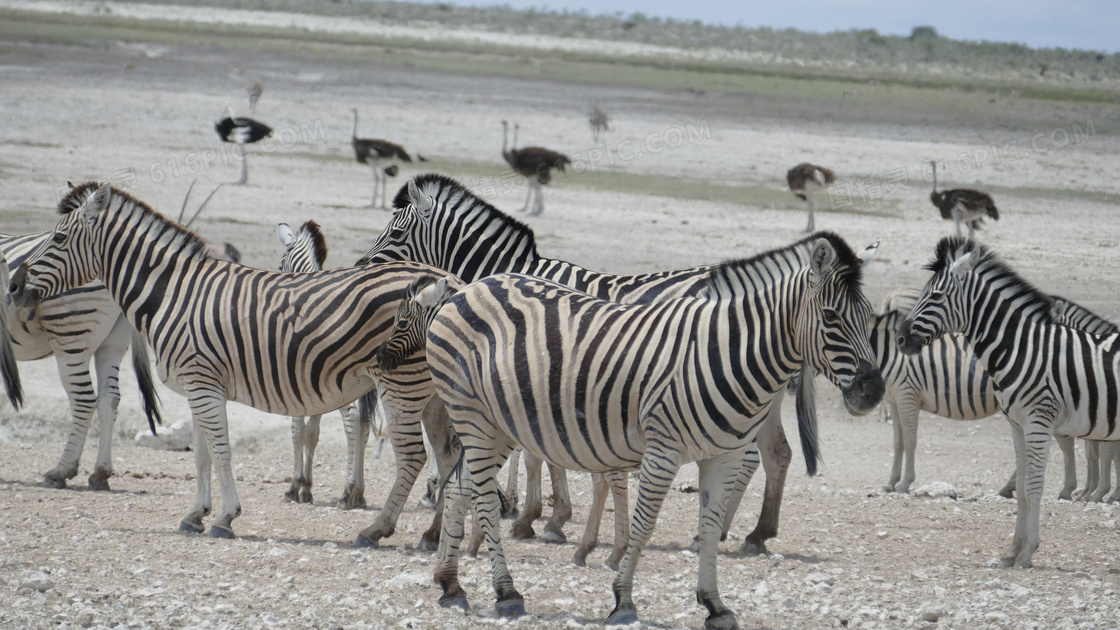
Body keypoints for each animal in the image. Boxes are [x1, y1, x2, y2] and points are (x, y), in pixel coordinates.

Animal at [8, 180, 452, 533]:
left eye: (59, 239)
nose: (12, 287)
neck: (173, 294)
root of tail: (446, 278)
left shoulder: (202, 382)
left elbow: (220, 451)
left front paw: (226, 517)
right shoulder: (199, 387)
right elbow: (202, 455)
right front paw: (196, 514)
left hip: (401, 384)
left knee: (414, 457)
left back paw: (377, 530)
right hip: (434, 391)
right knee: (448, 455)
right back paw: (435, 536)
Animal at [385, 233, 882, 623]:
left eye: (872, 318)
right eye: (832, 318)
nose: (873, 392)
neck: (725, 351)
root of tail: (469, 287)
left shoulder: (722, 457)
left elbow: (709, 527)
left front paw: (714, 604)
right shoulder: (663, 450)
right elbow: (644, 526)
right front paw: (623, 600)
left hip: (498, 423)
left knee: (458, 488)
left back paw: (451, 585)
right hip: (472, 414)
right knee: (484, 500)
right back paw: (506, 593)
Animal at [896, 236, 1120, 569]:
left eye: (935, 295)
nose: (900, 339)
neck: (1021, 348)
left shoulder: (1039, 422)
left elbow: (1035, 485)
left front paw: (1028, 553)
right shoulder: (1017, 425)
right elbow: (1023, 487)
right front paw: (1012, 551)